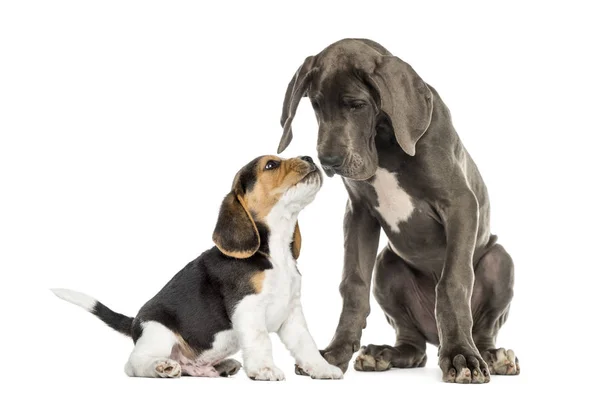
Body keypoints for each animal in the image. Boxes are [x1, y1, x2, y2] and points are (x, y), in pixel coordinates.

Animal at [51, 154, 342, 380]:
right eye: (271, 164)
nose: (310, 157)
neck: (275, 250)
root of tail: (135, 322)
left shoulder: (292, 313)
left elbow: (306, 345)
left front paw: (323, 369)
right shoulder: (247, 307)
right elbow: (261, 340)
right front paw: (265, 370)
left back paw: (222, 366)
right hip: (158, 332)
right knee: (134, 364)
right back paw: (162, 367)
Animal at [278, 38, 516, 384]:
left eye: (357, 105)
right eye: (317, 105)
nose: (328, 162)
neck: (384, 139)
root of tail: (435, 337)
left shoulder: (460, 204)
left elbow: (453, 283)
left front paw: (461, 355)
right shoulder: (359, 213)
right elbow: (353, 284)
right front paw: (335, 353)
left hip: (500, 261)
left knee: (483, 330)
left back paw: (491, 355)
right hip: (387, 265)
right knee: (413, 346)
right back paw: (384, 354)